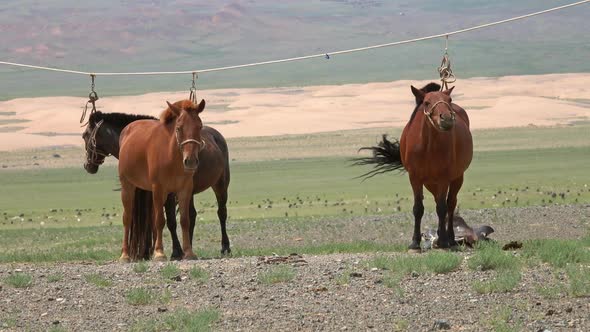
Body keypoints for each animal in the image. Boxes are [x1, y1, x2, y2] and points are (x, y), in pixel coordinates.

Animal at [118, 99, 208, 262]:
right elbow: (160, 220)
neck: (171, 154)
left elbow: (184, 220)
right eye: (179, 128)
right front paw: (159, 253)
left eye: (199, 126)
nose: (190, 161)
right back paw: (125, 255)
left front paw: (188, 252)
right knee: (127, 219)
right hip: (128, 187)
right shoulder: (159, 188)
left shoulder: (184, 189)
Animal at [356, 82, 476, 249]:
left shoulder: (444, 178)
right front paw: (415, 243)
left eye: (449, 100)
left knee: (450, 204)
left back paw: (450, 239)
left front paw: (443, 241)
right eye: (426, 102)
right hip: (431, 183)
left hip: (457, 177)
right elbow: (418, 208)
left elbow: (442, 208)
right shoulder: (415, 178)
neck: (428, 147)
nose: (446, 119)